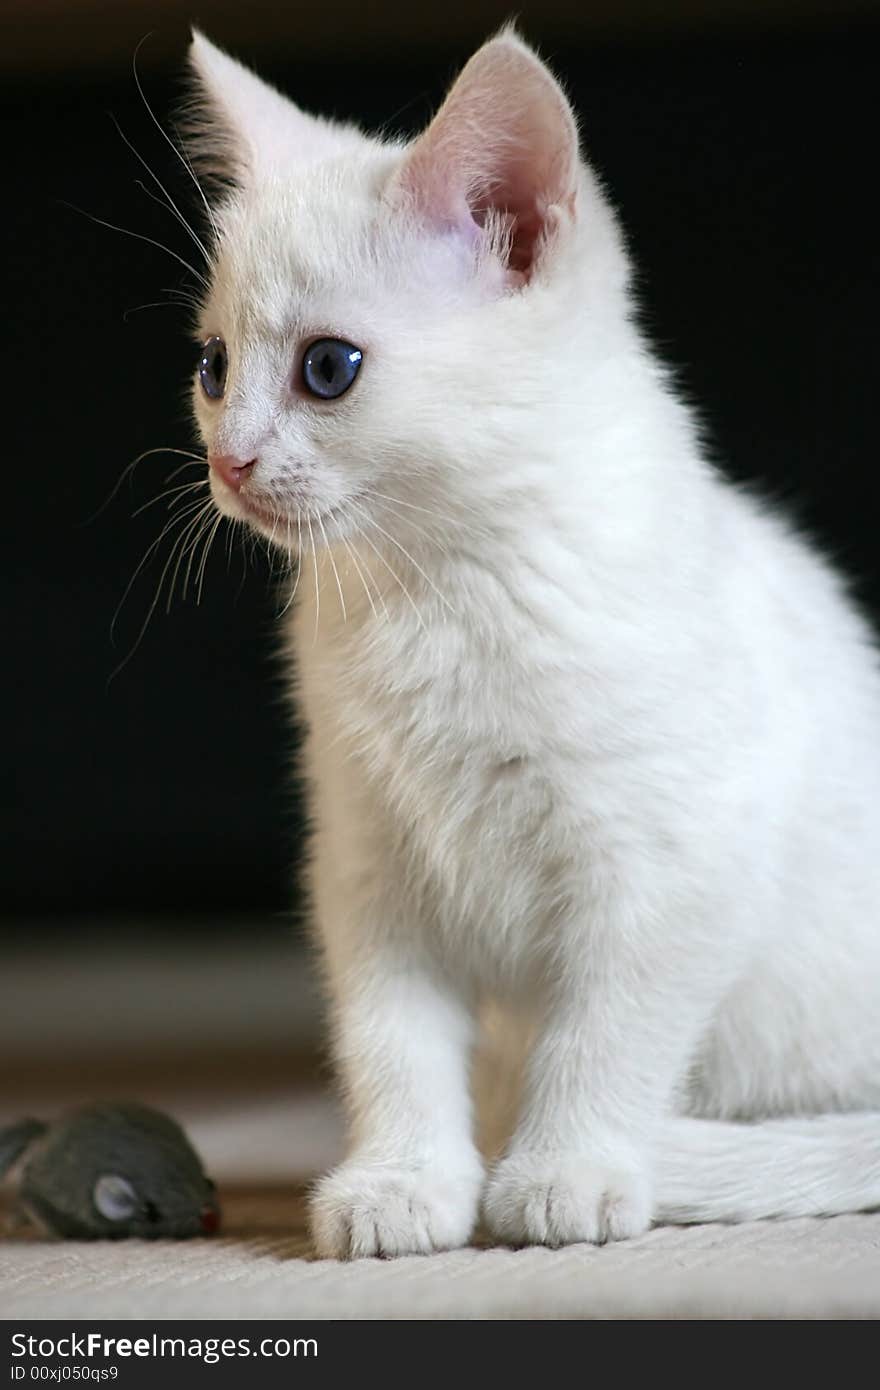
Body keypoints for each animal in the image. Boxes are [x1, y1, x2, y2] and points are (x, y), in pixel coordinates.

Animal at [184, 29, 878, 1262]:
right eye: (213, 366)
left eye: (328, 368)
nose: (231, 461)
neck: (442, 593)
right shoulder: (367, 866)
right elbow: (390, 1040)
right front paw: (403, 1181)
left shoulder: (672, 863)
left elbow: (603, 1033)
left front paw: (567, 1170)